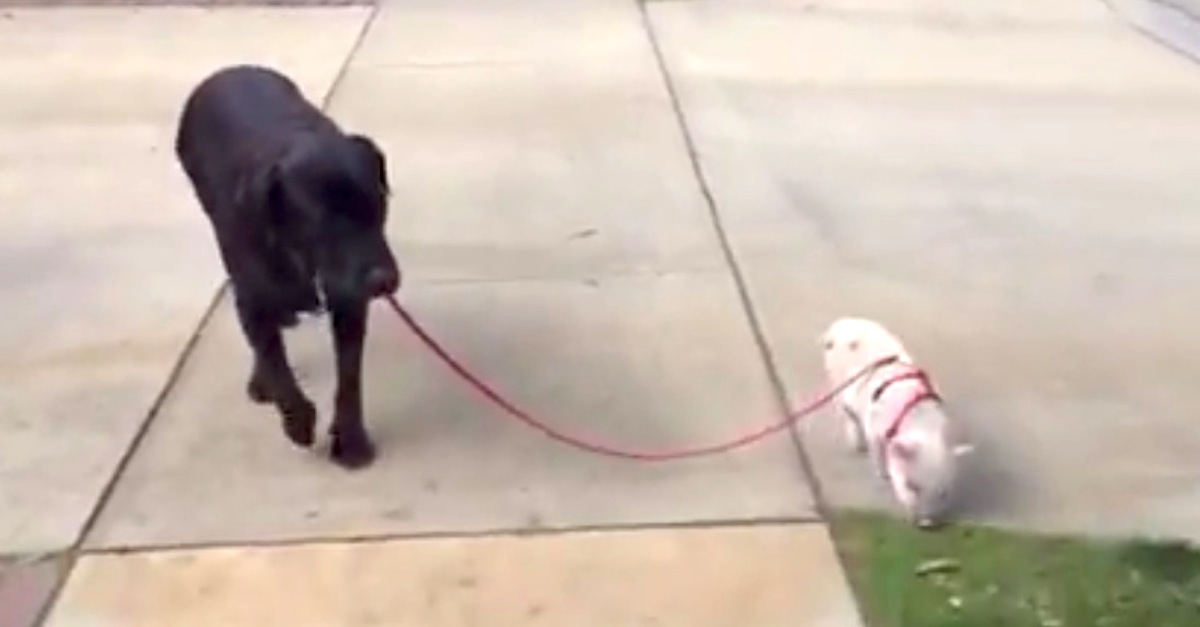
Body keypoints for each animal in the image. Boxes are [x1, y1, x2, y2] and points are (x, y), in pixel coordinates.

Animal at [175, 66, 398, 468]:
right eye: (322, 219)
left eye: (378, 203)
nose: (382, 281)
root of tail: (229, 70)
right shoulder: (252, 296)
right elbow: (274, 361)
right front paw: (297, 418)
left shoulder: (348, 302)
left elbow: (349, 376)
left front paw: (352, 441)